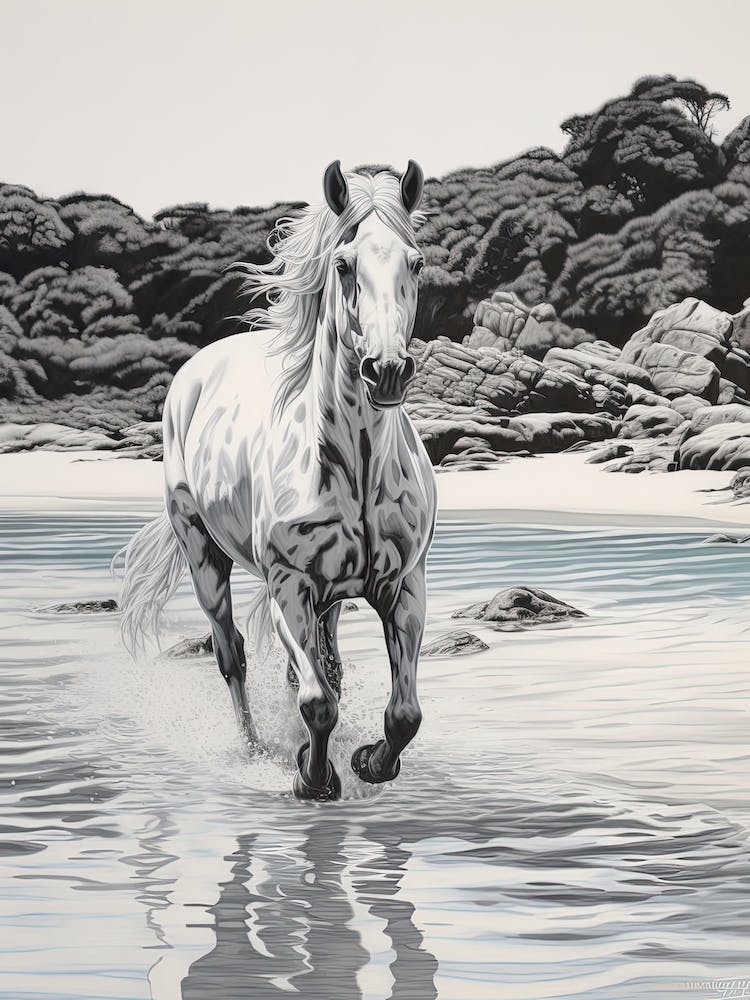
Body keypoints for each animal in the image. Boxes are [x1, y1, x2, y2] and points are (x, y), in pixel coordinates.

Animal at [118, 161, 437, 801]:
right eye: (344, 264)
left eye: (415, 262)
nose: (387, 370)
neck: (356, 468)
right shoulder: (289, 584)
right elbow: (317, 703)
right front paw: (313, 777)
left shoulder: (404, 586)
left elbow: (403, 713)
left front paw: (369, 762)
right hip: (202, 554)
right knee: (233, 655)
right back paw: (256, 749)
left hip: (329, 597)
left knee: (321, 663)